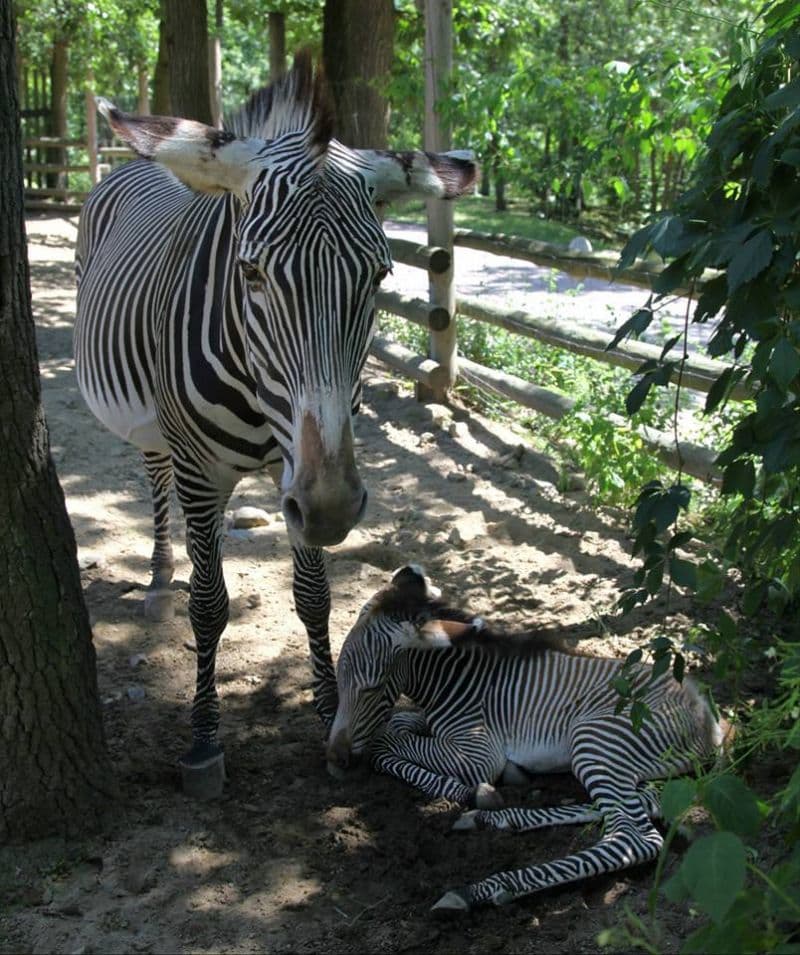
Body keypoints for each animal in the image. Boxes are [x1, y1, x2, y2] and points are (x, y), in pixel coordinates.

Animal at [75, 54, 476, 800]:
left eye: (380, 278)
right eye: (250, 273)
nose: (331, 509)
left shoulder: (302, 469)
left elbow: (315, 597)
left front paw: (326, 708)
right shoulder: (204, 474)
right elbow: (209, 604)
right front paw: (204, 739)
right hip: (156, 429)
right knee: (154, 476)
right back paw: (159, 577)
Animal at [326, 568, 732, 912]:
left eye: (372, 687)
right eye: (339, 672)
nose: (334, 759)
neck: (458, 683)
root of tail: (710, 718)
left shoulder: (478, 754)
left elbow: (385, 743)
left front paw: (471, 790)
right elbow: (399, 723)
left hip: (595, 740)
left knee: (633, 838)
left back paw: (481, 888)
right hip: (629, 763)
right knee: (645, 803)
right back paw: (493, 819)